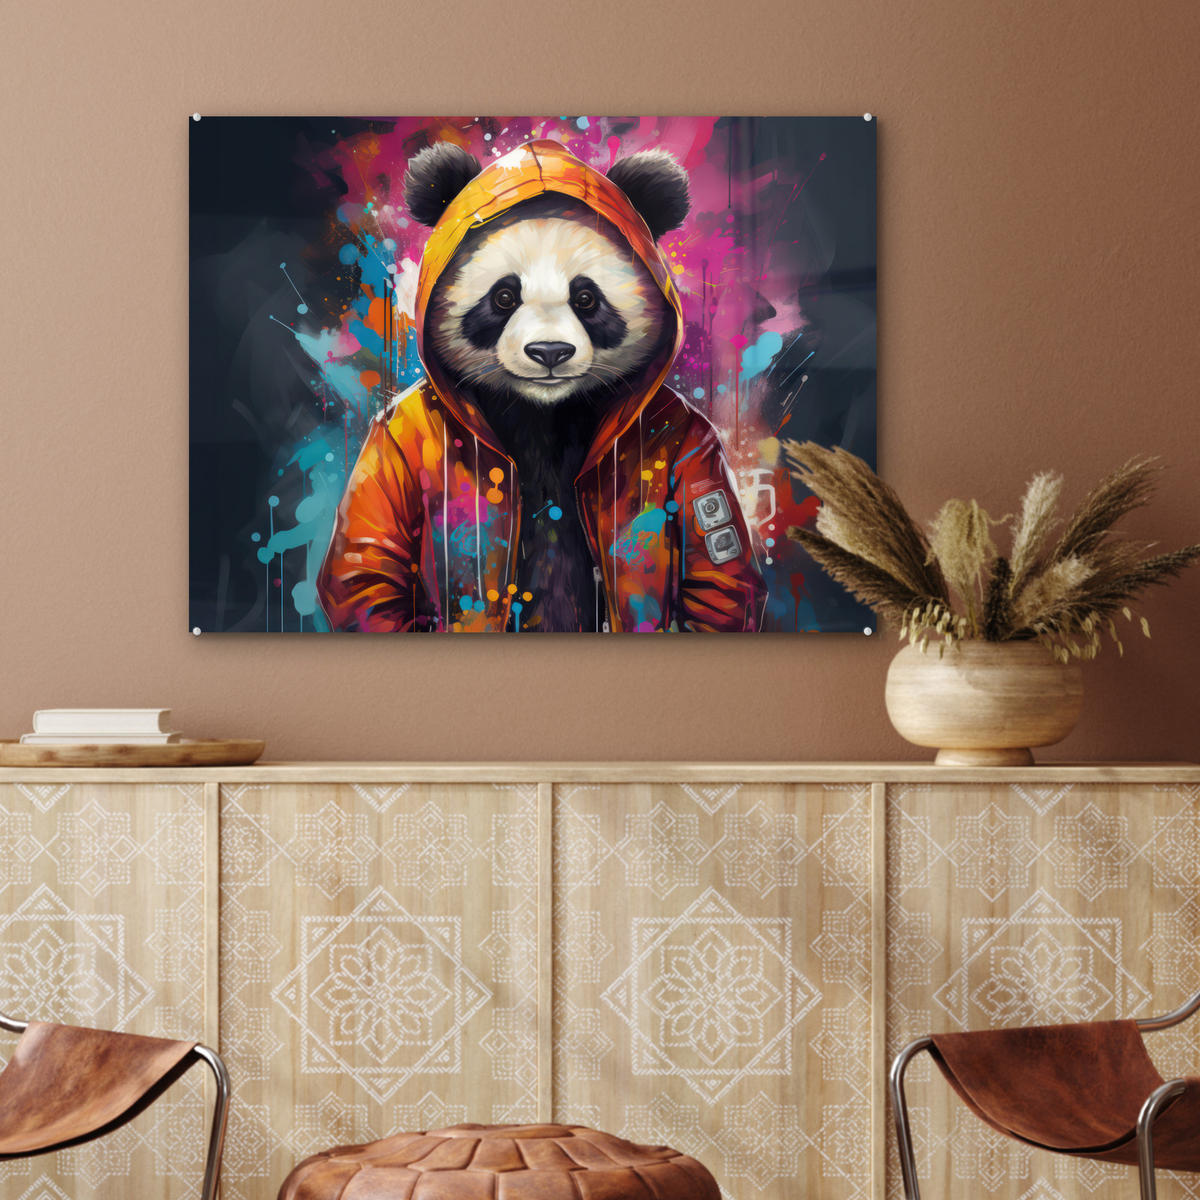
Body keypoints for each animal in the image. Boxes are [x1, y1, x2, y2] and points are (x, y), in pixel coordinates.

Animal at [318, 138, 765, 633]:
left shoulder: (690, 435)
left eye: (586, 298)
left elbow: (714, 572)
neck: (545, 410)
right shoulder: (397, 432)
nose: (549, 352)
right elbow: (371, 563)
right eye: (504, 296)